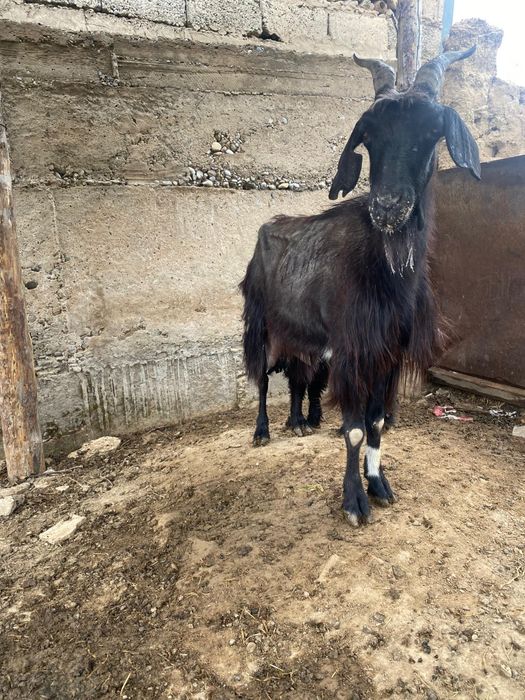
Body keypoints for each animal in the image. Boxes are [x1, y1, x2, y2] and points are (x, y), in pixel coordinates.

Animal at [240, 48, 480, 525]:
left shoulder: (387, 353)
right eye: (367, 135)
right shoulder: (352, 351)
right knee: (261, 380)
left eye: (433, 131)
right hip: (261, 326)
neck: (385, 270)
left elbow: (377, 423)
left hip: (304, 340)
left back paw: (298, 423)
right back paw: (262, 431)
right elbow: (352, 430)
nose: (388, 207)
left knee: (297, 380)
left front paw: (380, 485)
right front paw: (354, 502)